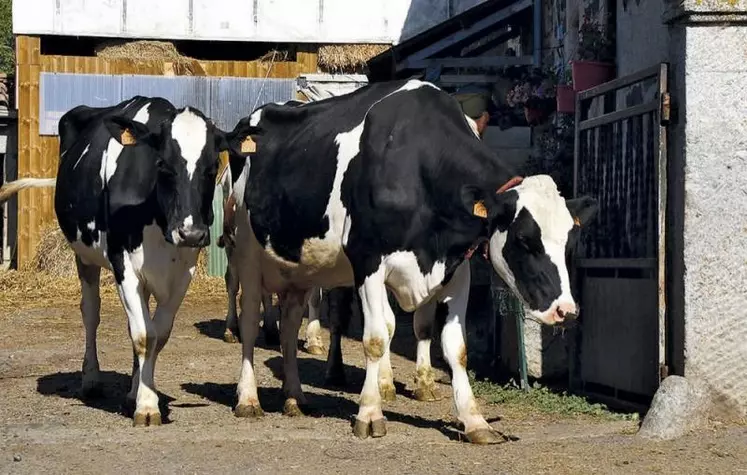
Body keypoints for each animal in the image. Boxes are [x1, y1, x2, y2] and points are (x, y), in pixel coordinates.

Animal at [0, 96, 254, 428]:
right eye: (163, 165)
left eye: (212, 168)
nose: (191, 232)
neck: (156, 217)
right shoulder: (124, 266)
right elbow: (144, 335)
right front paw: (147, 406)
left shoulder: (183, 272)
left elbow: (158, 334)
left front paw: (142, 394)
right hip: (85, 256)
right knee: (91, 313)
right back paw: (91, 380)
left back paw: (132, 389)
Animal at [231, 80, 600, 444]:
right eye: (525, 239)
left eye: (571, 241)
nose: (566, 311)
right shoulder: (368, 261)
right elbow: (376, 339)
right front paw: (370, 413)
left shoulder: (456, 268)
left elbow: (455, 348)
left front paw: (475, 421)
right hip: (246, 250)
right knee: (250, 322)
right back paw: (248, 399)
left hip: (299, 268)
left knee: (289, 327)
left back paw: (295, 397)